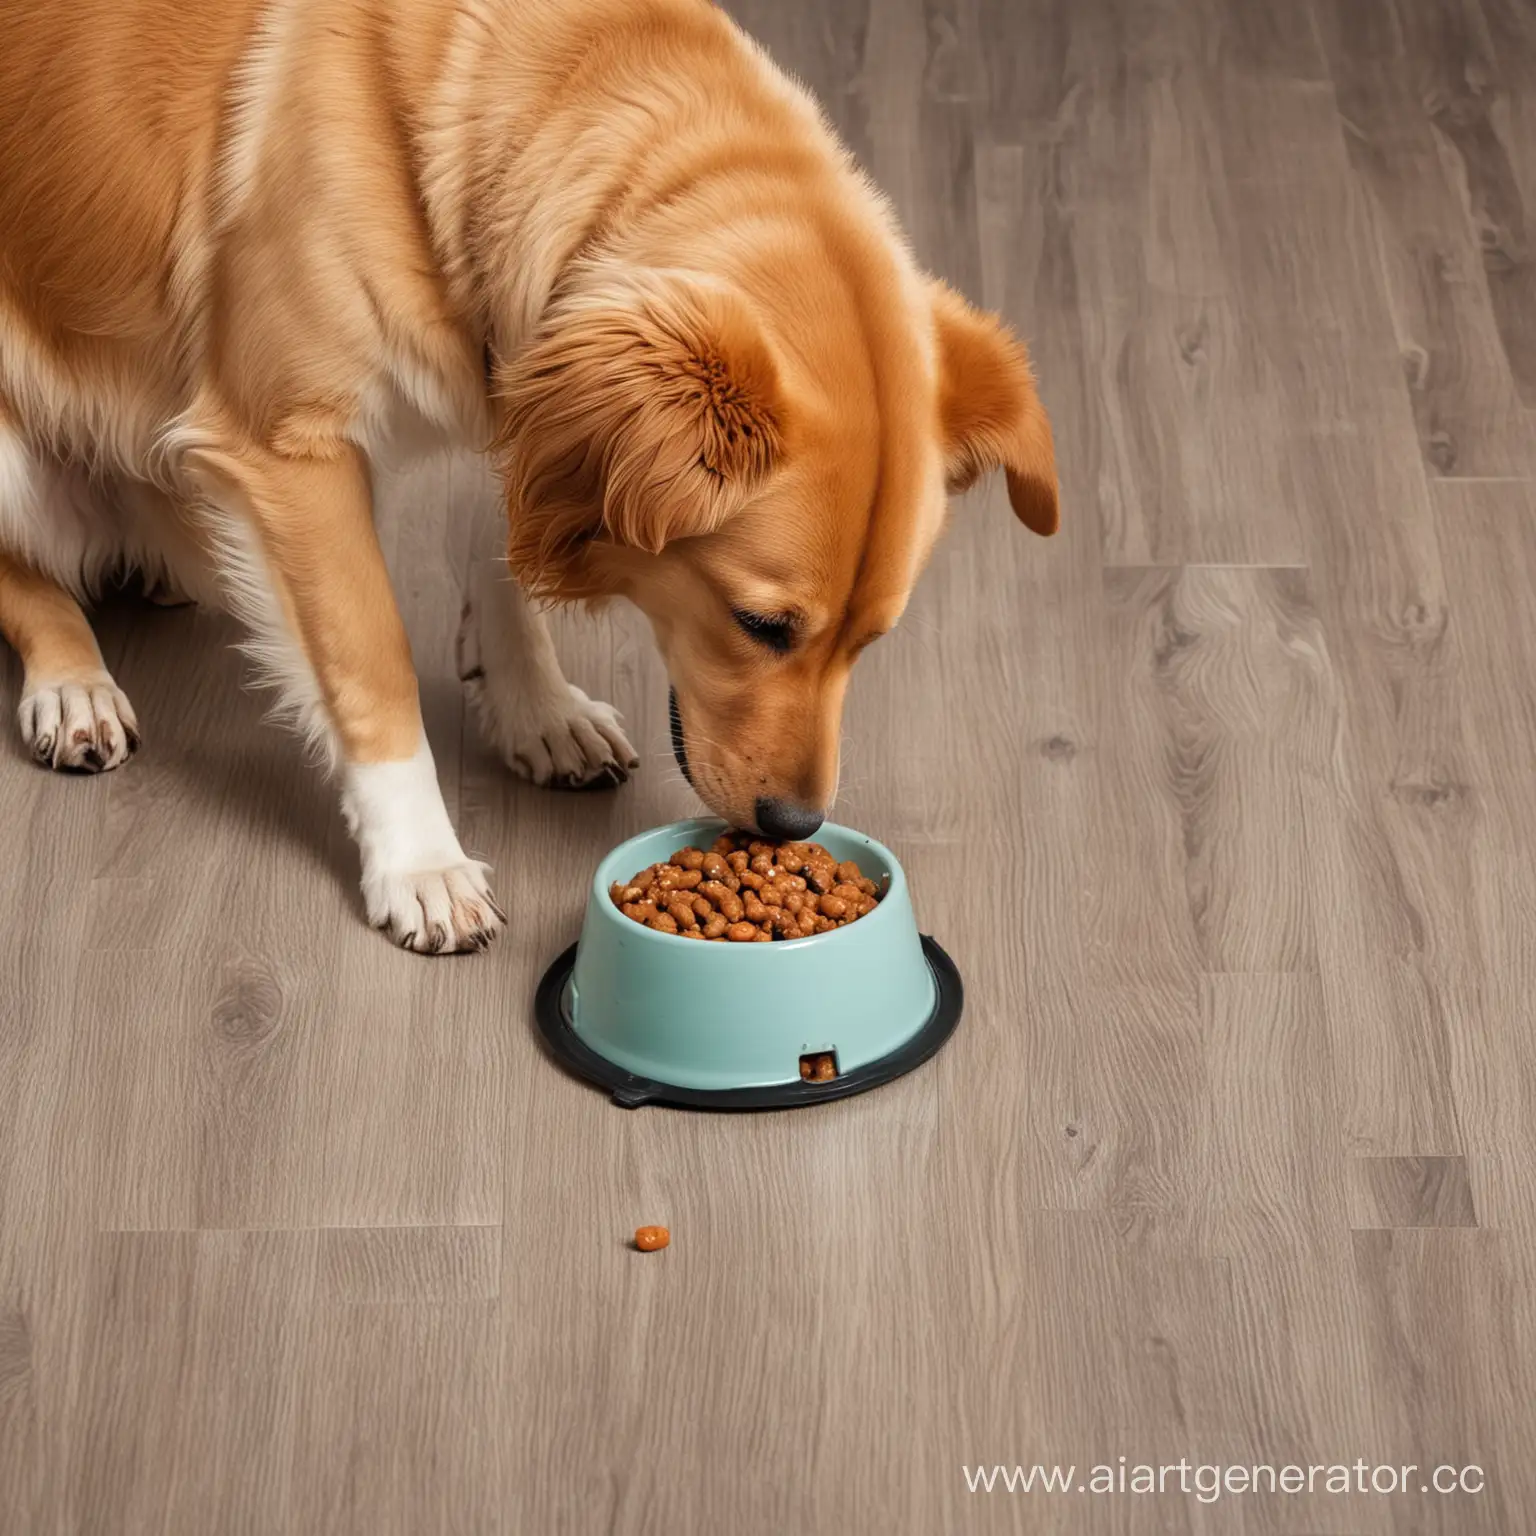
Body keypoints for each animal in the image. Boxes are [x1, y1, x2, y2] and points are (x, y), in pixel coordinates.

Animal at [0, 0, 1056, 952]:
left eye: (871, 641)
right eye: (761, 625)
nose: (793, 825)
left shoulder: (518, 386)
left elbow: (508, 557)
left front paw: (538, 711)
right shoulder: (288, 450)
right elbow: (372, 663)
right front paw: (420, 862)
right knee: (30, 582)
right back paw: (76, 686)